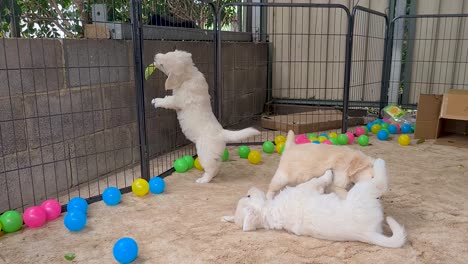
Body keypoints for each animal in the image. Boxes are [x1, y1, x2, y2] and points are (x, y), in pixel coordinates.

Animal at [151, 49, 262, 183]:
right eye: (168, 52)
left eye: (163, 64)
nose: (155, 56)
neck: (189, 75)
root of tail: (222, 133)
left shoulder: (178, 100)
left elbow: (168, 100)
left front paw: (156, 101)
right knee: (217, 166)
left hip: (205, 153)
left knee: (211, 169)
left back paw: (203, 180)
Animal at [223, 160, 406, 249]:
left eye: (247, 195)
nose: (250, 188)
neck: (270, 211)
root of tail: (368, 233)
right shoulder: (308, 187)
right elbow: (318, 180)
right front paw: (328, 173)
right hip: (363, 191)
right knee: (380, 183)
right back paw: (379, 163)